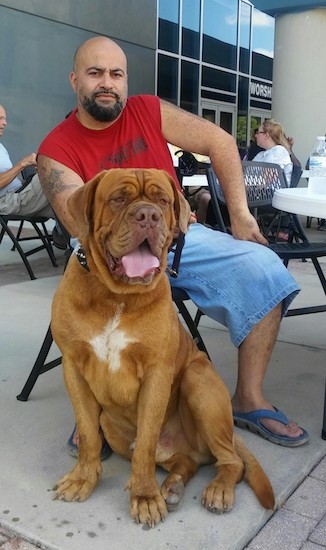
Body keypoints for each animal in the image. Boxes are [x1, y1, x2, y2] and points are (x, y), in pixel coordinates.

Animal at [51, 167, 276, 528]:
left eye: (162, 201)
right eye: (118, 199)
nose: (148, 215)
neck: (117, 295)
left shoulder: (157, 374)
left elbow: (145, 441)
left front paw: (144, 496)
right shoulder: (73, 366)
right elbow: (87, 431)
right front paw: (83, 478)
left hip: (200, 385)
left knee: (231, 460)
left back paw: (217, 490)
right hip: (114, 426)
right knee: (186, 461)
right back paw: (171, 486)